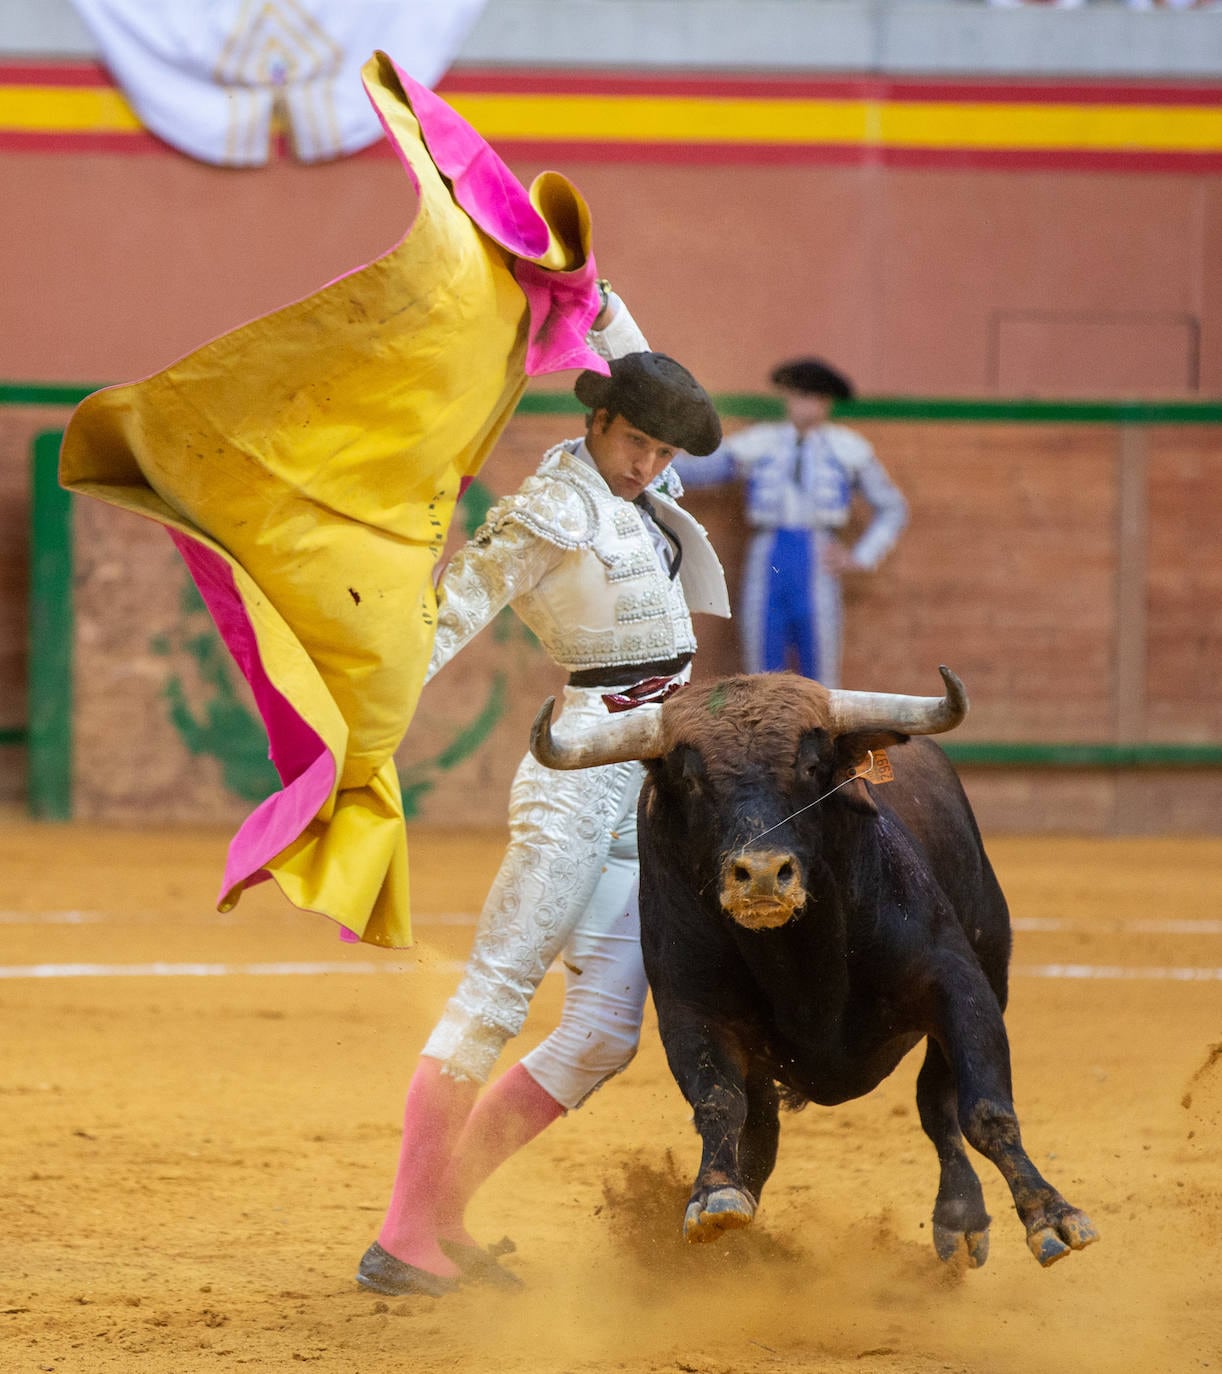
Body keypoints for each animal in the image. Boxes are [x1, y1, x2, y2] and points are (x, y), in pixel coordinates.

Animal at [530, 665, 1094, 1264]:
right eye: (690, 778)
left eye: (809, 767)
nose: (760, 874)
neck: (799, 960)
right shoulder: (690, 1011)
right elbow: (718, 1103)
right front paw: (714, 1197)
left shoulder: (959, 983)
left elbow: (985, 1108)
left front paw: (1051, 1215)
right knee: (762, 1130)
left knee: (935, 1101)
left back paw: (960, 1217)